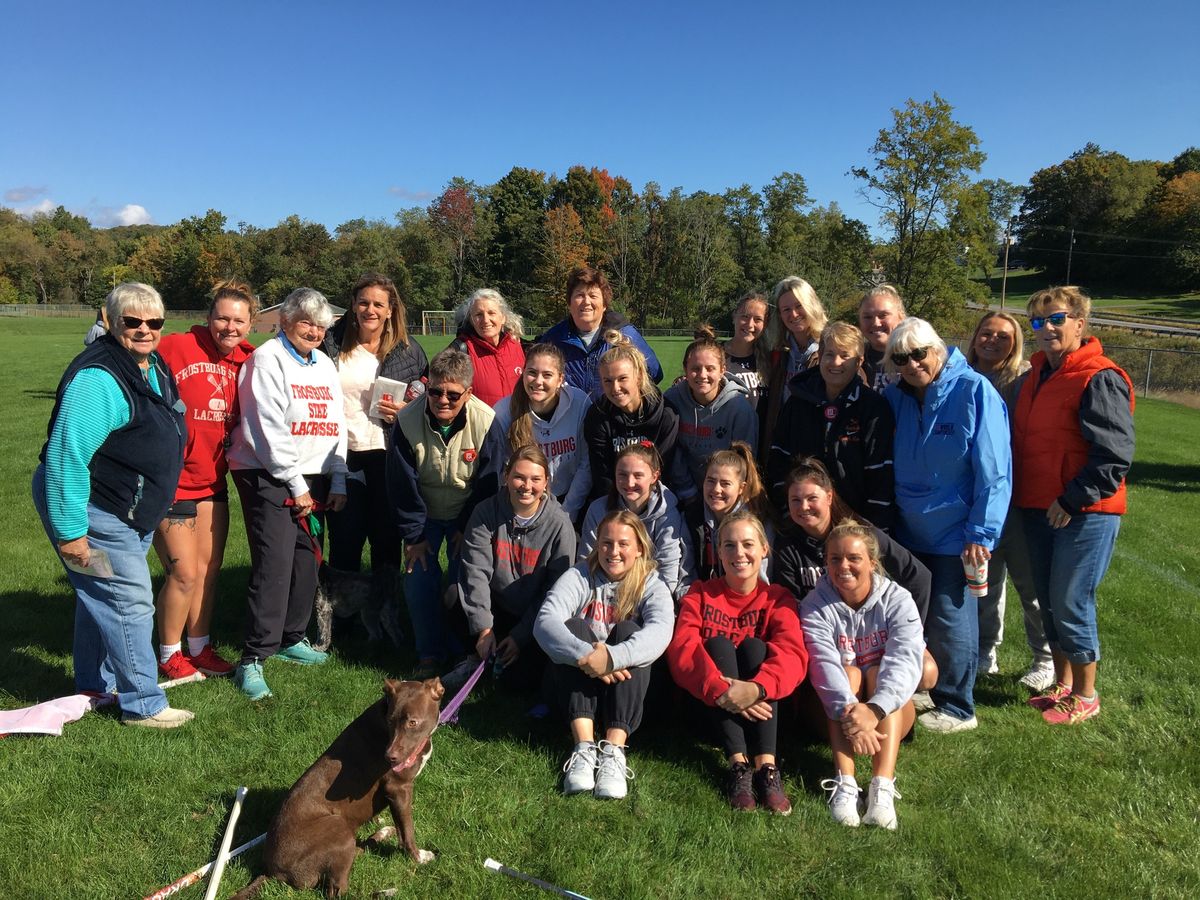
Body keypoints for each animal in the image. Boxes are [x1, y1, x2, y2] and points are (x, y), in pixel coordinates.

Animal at [231, 681, 444, 897]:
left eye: (412, 723)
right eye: (390, 721)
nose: (390, 757)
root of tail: (273, 873)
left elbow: (401, 829)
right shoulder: (399, 788)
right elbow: (408, 831)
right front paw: (419, 858)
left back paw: (381, 835)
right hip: (339, 825)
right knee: (337, 889)